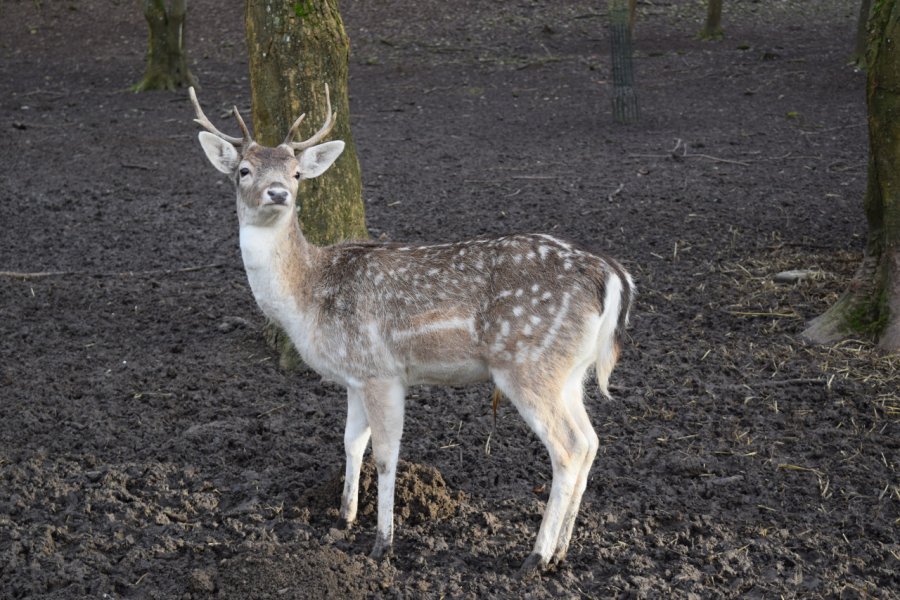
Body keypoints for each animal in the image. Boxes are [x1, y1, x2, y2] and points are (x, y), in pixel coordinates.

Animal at [190, 84, 636, 576]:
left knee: (569, 447)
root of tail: (613, 277)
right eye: (244, 170)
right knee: (591, 441)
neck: (306, 298)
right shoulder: (355, 376)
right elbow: (351, 442)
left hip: (528, 364)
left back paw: (534, 557)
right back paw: (560, 552)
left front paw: (381, 544)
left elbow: (386, 456)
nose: (277, 193)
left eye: (296, 172)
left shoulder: (381, 372)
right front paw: (344, 517)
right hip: (569, 371)